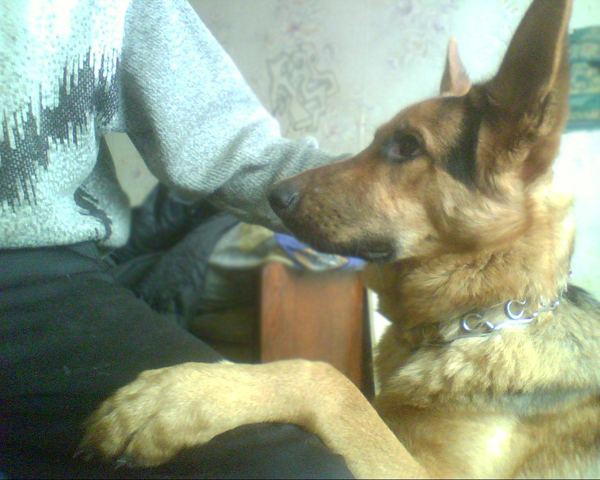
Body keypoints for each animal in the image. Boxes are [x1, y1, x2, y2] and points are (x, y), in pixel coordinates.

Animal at [82, 0, 600, 477]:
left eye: (407, 146)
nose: (274, 195)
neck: (475, 318)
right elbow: (349, 389)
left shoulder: (428, 470)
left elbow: (329, 378)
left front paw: (179, 396)